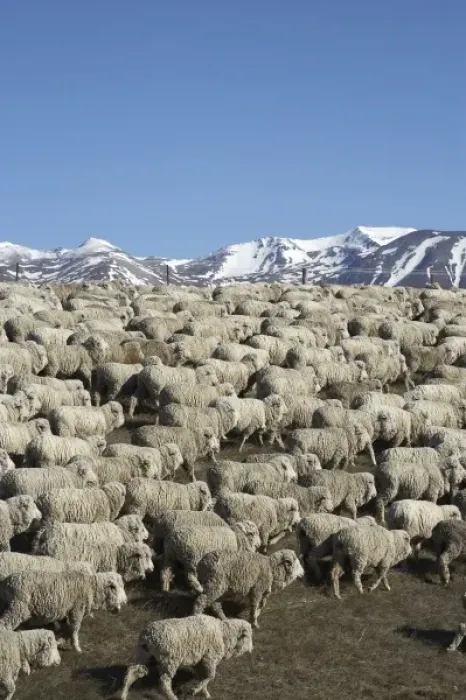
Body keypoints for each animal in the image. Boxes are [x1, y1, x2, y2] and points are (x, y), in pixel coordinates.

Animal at [120, 615, 253, 700]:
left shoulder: (200, 661)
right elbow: (210, 676)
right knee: (164, 682)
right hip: (170, 660)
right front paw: (195, 690)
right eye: (249, 637)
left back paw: (123, 695)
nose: (251, 650)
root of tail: (148, 636)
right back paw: (172, 697)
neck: (224, 633)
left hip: (145, 656)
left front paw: (205, 693)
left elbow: (203, 677)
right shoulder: (210, 658)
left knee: (132, 671)